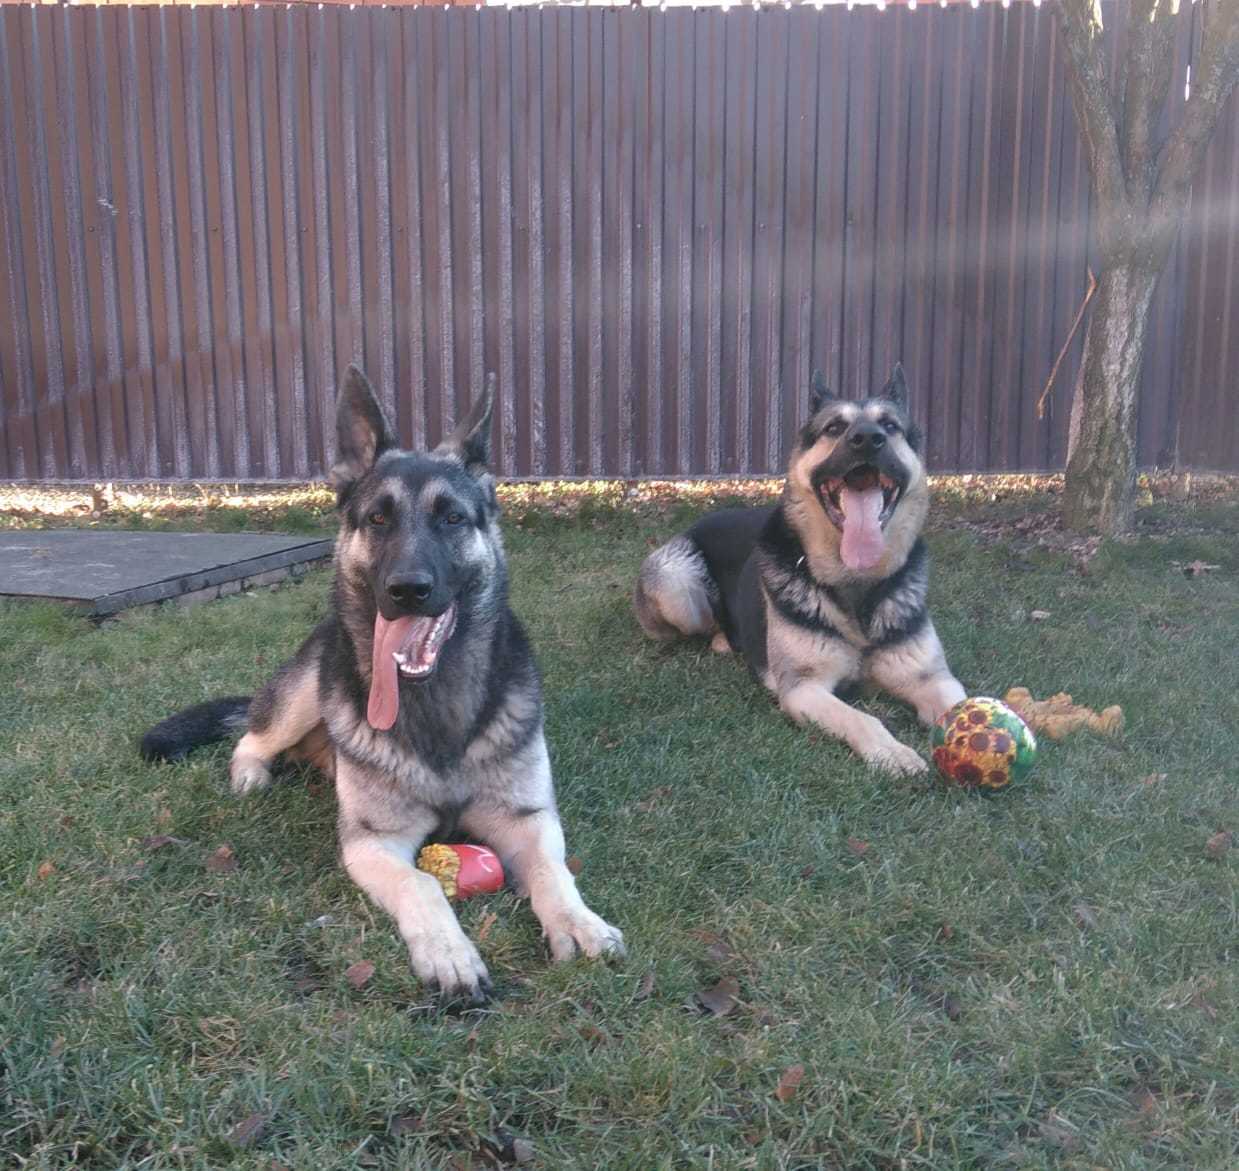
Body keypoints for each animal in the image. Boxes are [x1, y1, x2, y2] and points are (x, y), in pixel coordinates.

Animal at [144, 366, 624, 1006]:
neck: (437, 708)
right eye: (377, 518)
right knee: (250, 737)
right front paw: (449, 953)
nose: (408, 589)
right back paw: (251, 776)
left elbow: (553, 871)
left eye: (452, 518)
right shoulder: (373, 844)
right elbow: (422, 884)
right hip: (305, 691)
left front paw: (578, 922)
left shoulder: (528, 819)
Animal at [639, 361, 966, 773]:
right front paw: (892, 751)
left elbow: (967, 705)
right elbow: (860, 717)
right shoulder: (803, 688)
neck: (855, 584)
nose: (868, 439)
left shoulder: (933, 679)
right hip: (678, 586)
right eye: (834, 428)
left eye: (890, 426)